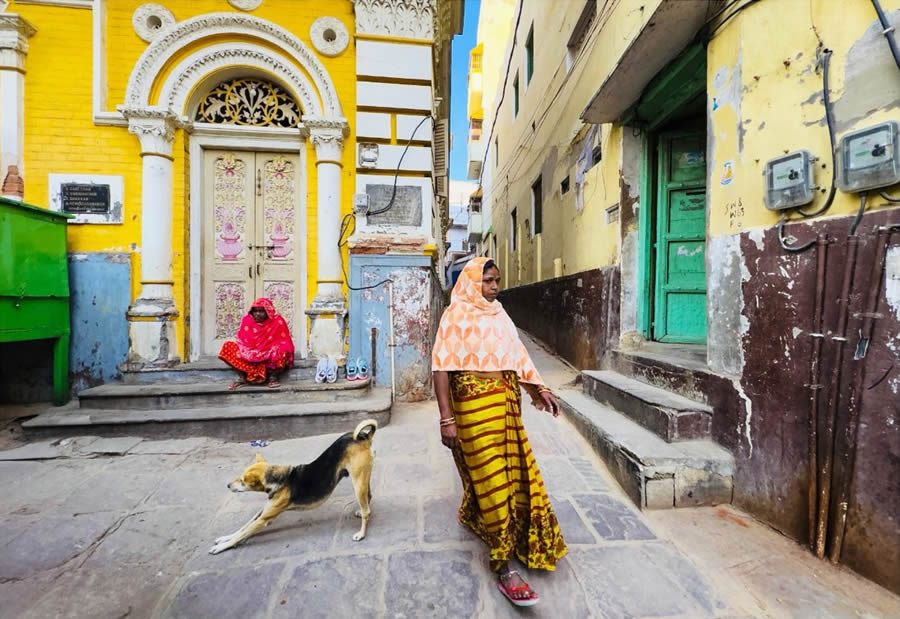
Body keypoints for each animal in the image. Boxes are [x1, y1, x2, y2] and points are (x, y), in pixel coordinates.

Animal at [208, 416, 376, 556]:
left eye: (243, 481)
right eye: (240, 477)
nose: (228, 485)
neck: (280, 480)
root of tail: (363, 436)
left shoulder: (265, 519)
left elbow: (242, 534)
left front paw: (222, 547)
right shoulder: (262, 512)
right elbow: (242, 528)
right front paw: (224, 538)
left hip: (358, 482)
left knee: (366, 510)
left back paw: (361, 534)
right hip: (362, 479)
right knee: (368, 498)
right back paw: (360, 512)